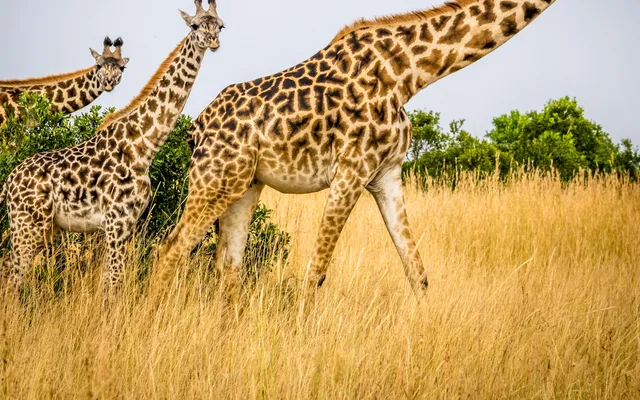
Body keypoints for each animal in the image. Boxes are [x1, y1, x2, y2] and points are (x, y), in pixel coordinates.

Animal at [152, 0, 556, 298]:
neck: (408, 75)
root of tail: (195, 129)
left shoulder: (387, 175)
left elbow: (417, 272)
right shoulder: (350, 170)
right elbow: (315, 273)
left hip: (244, 185)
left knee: (229, 263)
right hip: (214, 180)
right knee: (170, 248)